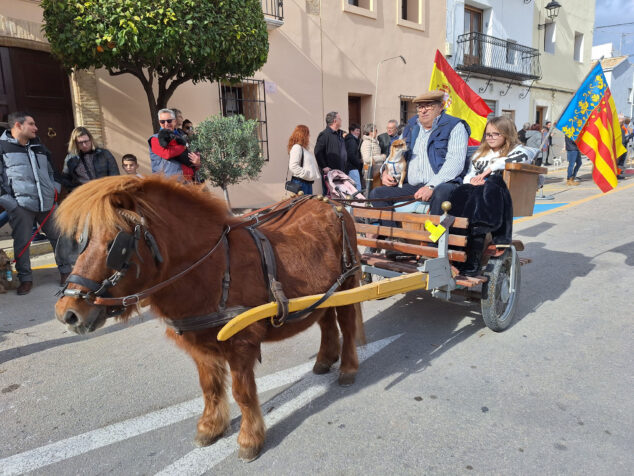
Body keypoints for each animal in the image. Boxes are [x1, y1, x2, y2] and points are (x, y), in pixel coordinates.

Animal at [53, 175, 366, 462]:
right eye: (81, 242)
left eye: (114, 244)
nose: (67, 313)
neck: (211, 268)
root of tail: (330, 202)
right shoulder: (199, 345)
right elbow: (210, 388)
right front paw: (211, 427)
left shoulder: (240, 344)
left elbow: (242, 393)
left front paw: (250, 439)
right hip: (324, 292)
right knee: (326, 321)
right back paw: (324, 359)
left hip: (348, 284)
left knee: (347, 325)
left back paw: (348, 369)